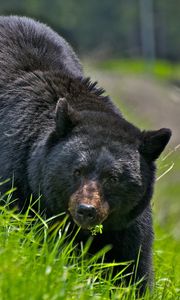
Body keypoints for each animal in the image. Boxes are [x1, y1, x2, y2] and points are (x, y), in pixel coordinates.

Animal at [0, 15, 172, 292]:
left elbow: (133, 264)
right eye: (77, 171)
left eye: (113, 178)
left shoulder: (126, 223)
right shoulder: (17, 178)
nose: (86, 209)